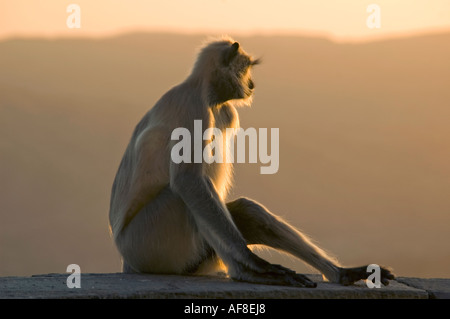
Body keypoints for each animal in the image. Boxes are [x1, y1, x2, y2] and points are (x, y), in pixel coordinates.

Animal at [109, 37, 394, 288]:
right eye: (246, 68)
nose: (253, 85)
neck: (208, 96)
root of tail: (126, 259)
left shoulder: (226, 111)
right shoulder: (192, 108)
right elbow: (188, 180)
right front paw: (254, 262)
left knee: (246, 210)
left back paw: (340, 274)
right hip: (148, 244)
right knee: (186, 194)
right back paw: (247, 271)